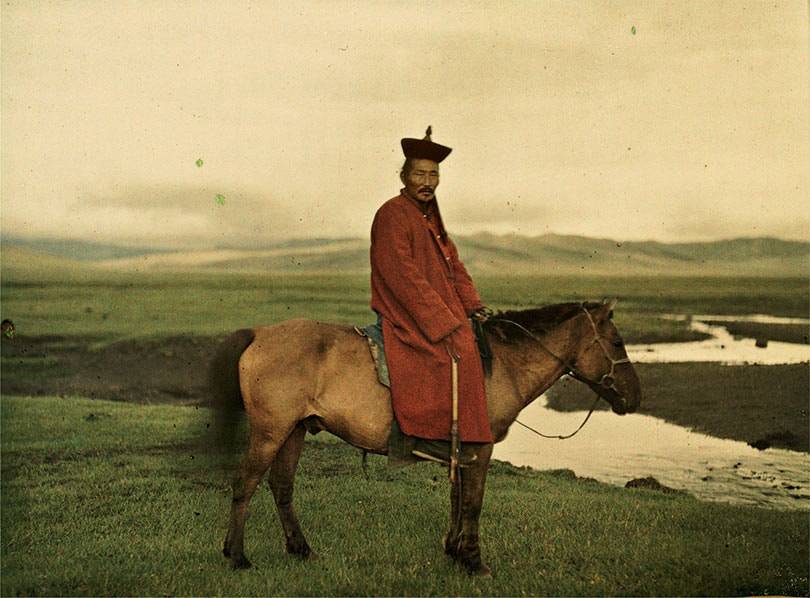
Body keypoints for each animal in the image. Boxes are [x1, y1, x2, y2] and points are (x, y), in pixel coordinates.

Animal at [211, 300, 640, 576]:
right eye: (617, 342)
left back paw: (301, 550)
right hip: (271, 431)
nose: (635, 397)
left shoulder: (462, 450)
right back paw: (237, 556)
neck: (501, 364)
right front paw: (474, 562)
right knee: (245, 483)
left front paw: (454, 551)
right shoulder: (481, 449)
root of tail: (259, 335)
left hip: (295, 431)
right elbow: (473, 503)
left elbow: (457, 499)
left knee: (281, 486)